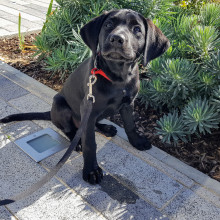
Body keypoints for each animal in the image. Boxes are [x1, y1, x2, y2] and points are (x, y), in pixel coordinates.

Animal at [0, 9, 170, 184]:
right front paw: (91, 170)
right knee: (69, 129)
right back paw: (77, 142)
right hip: (61, 105)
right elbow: (90, 144)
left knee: (92, 124)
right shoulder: (89, 107)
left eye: (137, 29)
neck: (118, 78)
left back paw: (106, 128)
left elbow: (130, 125)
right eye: (109, 24)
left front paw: (137, 141)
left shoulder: (128, 103)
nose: (116, 39)